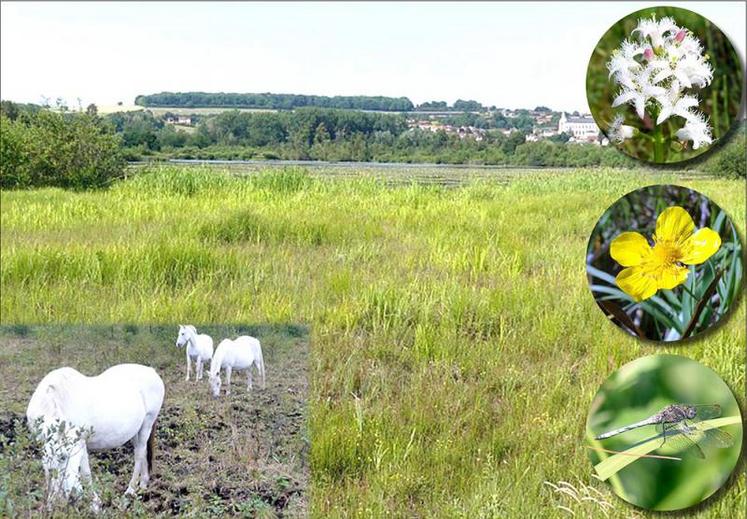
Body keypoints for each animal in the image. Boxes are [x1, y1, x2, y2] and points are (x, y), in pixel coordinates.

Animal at [26, 364, 165, 512]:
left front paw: (95, 504)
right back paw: (143, 485)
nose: (68, 499)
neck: (54, 401)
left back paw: (130, 491)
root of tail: (151, 370)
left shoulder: (80, 443)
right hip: (135, 432)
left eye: (63, 457)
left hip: (147, 424)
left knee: (139, 455)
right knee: (142, 452)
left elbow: (86, 474)